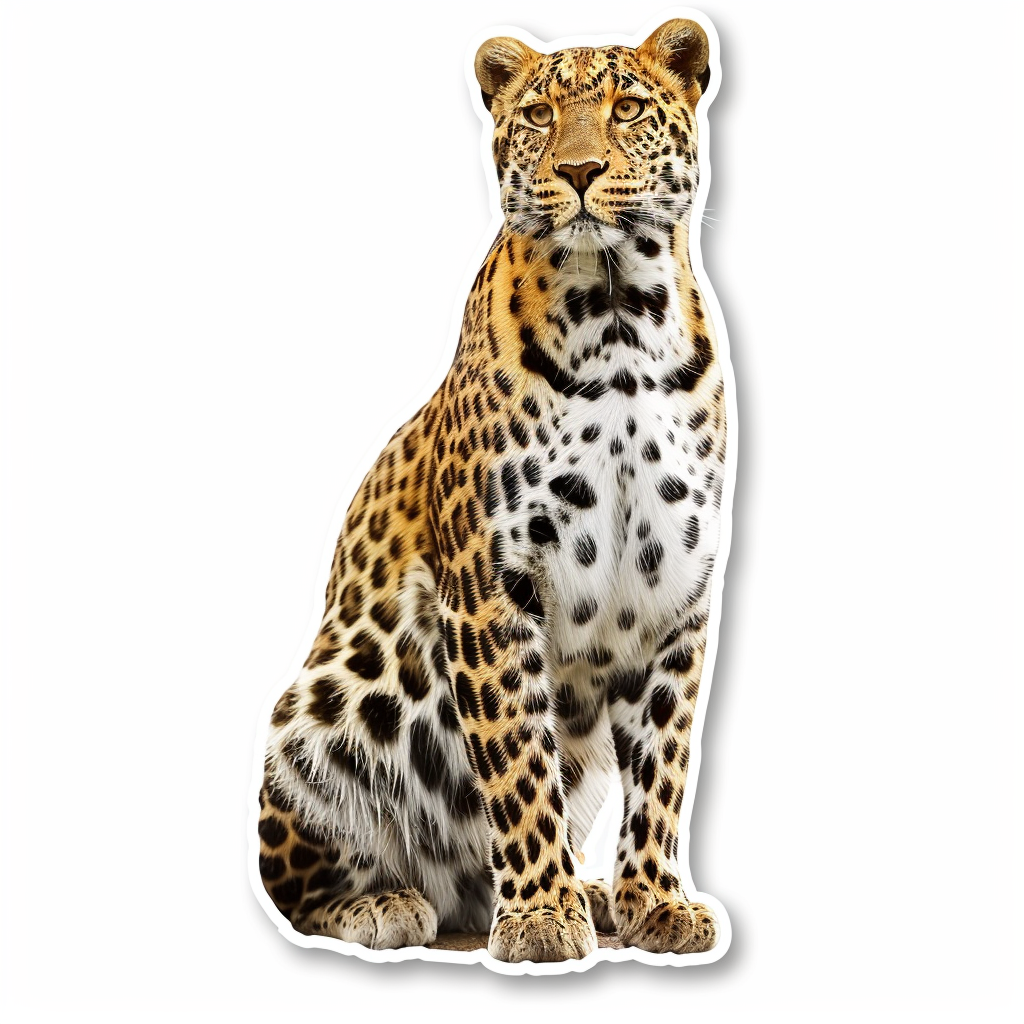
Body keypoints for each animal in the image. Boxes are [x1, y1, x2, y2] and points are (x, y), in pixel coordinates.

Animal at [256, 18, 728, 965]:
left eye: (628, 109)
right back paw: (386, 905)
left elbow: (663, 769)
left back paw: (596, 895)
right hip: (332, 693)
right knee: (298, 885)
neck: (620, 320)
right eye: (540, 116)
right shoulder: (491, 581)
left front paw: (656, 902)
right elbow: (515, 758)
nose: (578, 171)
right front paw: (542, 916)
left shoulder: (678, 593)